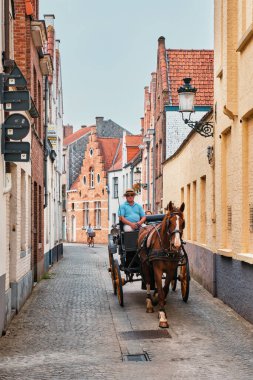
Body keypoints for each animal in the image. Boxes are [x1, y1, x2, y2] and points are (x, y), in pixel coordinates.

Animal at [137, 200, 185, 328]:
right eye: (169, 222)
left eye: (183, 223)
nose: (176, 245)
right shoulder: (157, 269)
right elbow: (159, 287)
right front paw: (162, 316)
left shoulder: (171, 269)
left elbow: (165, 289)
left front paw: (159, 299)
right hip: (145, 265)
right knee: (148, 282)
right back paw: (149, 303)